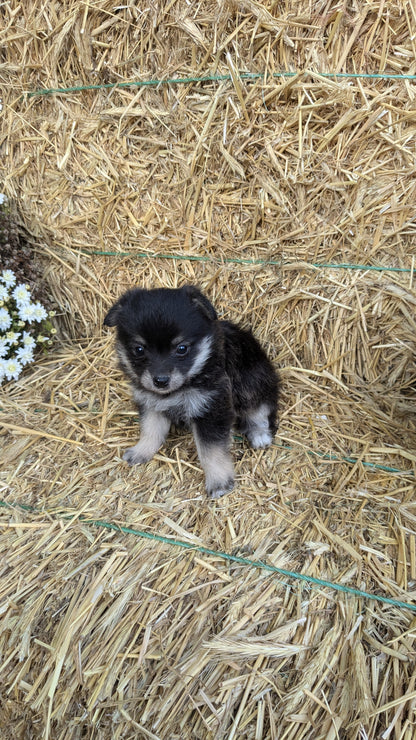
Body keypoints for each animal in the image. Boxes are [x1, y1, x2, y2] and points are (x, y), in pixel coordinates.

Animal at [104, 286, 280, 500]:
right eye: (138, 349)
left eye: (182, 348)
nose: (160, 381)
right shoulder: (151, 404)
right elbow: (150, 431)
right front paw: (141, 451)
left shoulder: (211, 409)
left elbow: (211, 452)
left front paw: (219, 482)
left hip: (254, 384)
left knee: (260, 411)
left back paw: (260, 435)